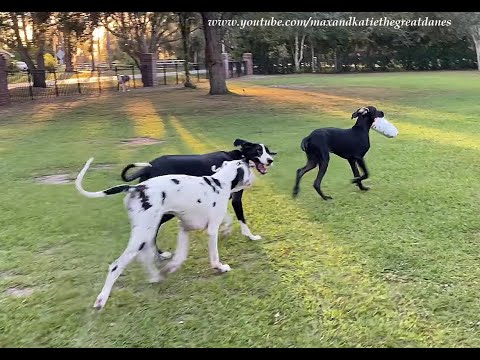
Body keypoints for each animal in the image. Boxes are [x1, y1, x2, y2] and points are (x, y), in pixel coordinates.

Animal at [75, 157, 255, 310]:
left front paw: (170, 268)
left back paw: (155, 276)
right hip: (142, 235)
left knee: (146, 255)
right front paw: (221, 267)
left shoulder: (184, 228)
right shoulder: (211, 230)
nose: (248, 161)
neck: (220, 183)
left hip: (147, 232)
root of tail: (136, 187)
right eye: (245, 166)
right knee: (116, 266)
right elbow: (215, 257)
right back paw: (102, 299)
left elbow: (180, 256)